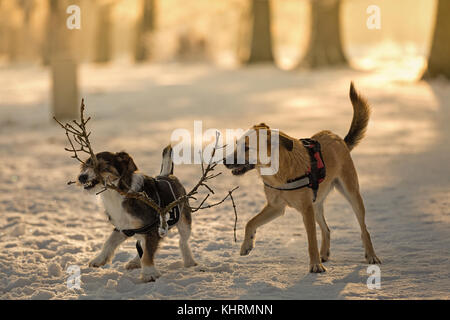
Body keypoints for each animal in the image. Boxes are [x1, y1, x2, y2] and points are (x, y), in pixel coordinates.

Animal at [78, 146, 197, 282]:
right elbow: (110, 242)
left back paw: (189, 261)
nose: (81, 177)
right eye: (85, 166)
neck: (117, 193)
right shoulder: (124, 227)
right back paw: (135, 262)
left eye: (100, 165)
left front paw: (149, 273)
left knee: (183, 241)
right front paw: (99, 259)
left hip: (184, 221)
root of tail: (167, 175)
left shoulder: (152, 229)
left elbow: (148, 254)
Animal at [223, 82, 382, 272]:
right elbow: (250, 222)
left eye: (247, 148)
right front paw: (247, 245)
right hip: (317, 203)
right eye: (237, 144)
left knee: (364, 229)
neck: (278, 172)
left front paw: (315, 265)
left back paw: (371, 256)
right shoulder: (276, 207)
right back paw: (324, 254)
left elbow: (311, 241)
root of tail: (339, 139)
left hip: (351, 194)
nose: (224, 161)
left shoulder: (305, 210)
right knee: (327, 229)